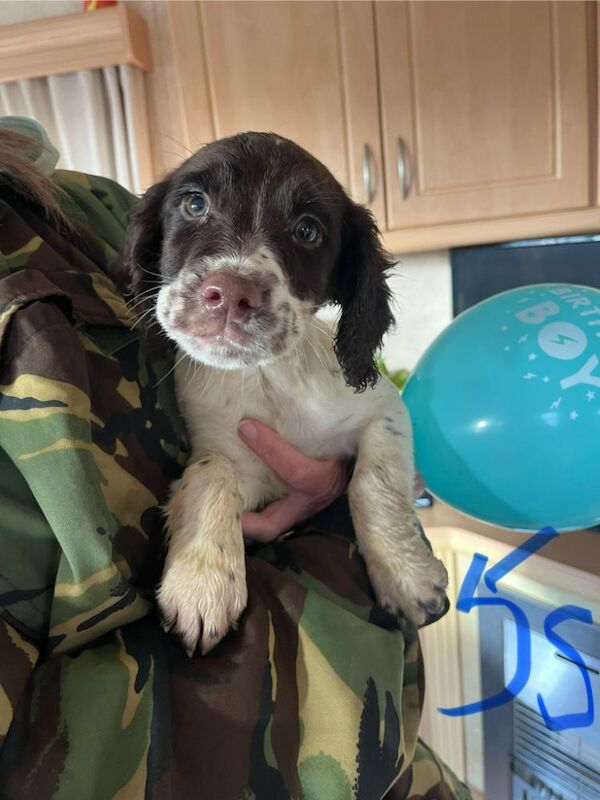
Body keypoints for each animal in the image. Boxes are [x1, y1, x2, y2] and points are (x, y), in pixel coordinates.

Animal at [119, 133, 448, 656]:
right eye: (194, 204)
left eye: (307, 231)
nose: (230, 294)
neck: (269, 379)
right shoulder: (241, 464)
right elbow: (211, 472)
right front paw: (201, 581)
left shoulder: (384, 409)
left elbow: (371, 482)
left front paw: (405, 573)